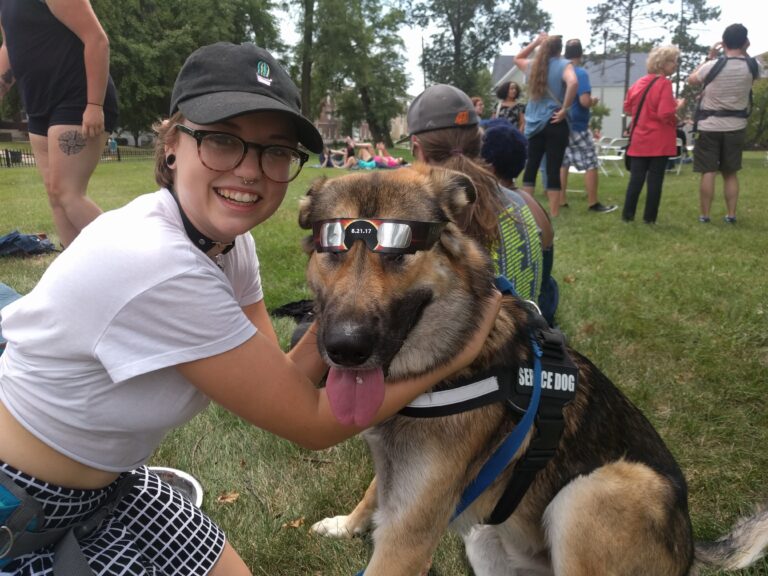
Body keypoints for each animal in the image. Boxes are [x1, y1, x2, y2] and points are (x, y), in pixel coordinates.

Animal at [296, 164, 768, 572]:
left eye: (400, 253)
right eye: (331, 250)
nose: (345, 348)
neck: (456, 353)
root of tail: (690, 547)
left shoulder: (407, 536)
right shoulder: (398, 487)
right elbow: (373, 490)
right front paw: (347, 525)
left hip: (591, 492)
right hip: (485, 539)